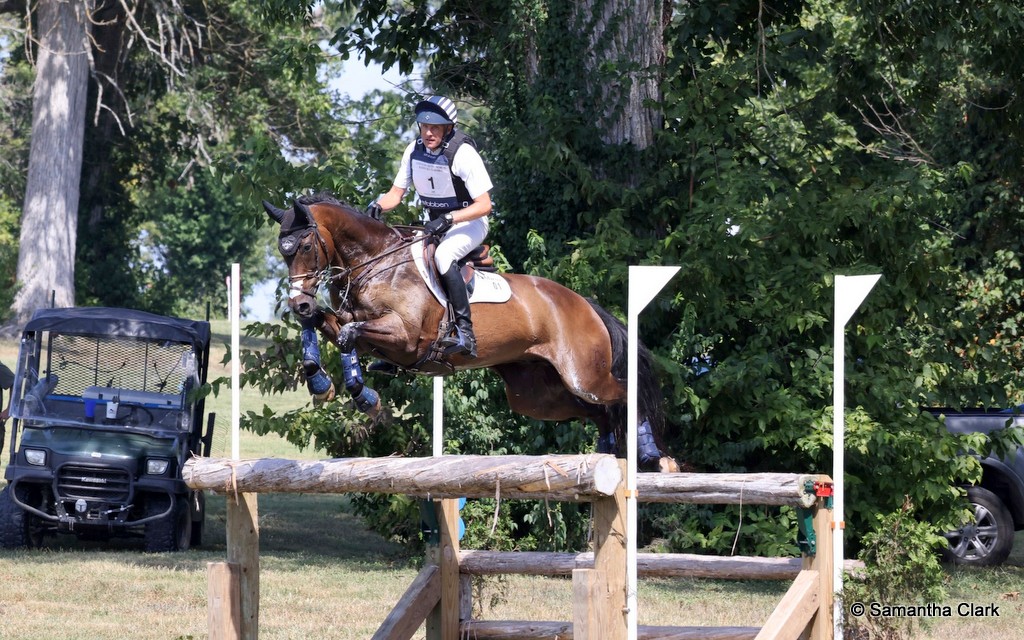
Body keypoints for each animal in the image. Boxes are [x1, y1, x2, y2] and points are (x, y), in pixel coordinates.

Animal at [263, 193, 678, 472]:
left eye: (304, 246)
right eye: (282, 251)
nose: (297, 303)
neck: (374, 263)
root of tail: (587, 305)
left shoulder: (406, 340)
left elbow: (349, 333)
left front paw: (362, 396)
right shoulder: (363, 329)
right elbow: (331, 328)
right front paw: (325, 383)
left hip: (583, 376)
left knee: (624, 394)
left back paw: (654, 456)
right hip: (537, 395)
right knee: (599, 411)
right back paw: (606, 453)